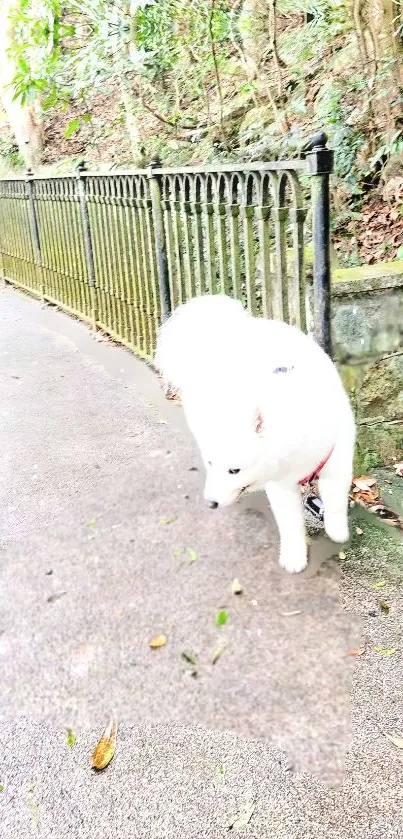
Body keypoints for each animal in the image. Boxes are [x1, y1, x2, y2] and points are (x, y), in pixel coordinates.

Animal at [155, 292, 356, 576]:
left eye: (235, 470)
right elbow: (290, 522)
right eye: (214, 464)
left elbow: (336, 501)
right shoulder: (281, 484)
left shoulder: (336, 460)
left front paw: (337, 530)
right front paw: (294, 556)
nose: (210, 503)